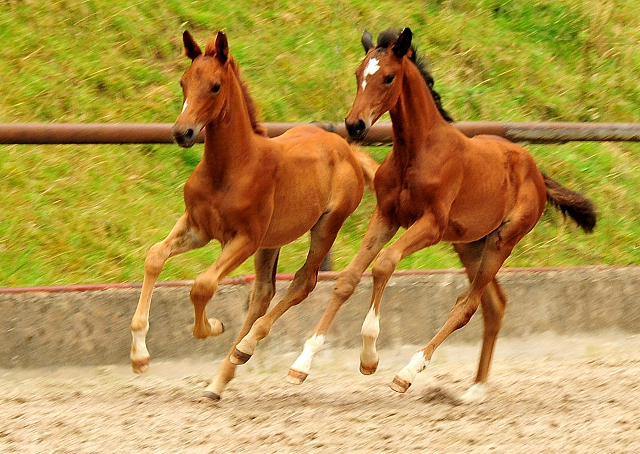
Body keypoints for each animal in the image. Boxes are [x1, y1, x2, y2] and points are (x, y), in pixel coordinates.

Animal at [132, 31, 378, 400]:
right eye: (183, 82)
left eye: (215, 86)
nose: (182, 132)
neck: (230, 169)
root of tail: (347, 149)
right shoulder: (197, 227)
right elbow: (154, 257)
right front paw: (139, 356)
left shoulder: (243, 239)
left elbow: (202, 285)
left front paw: (213, 326)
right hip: (271, 241)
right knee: (262, 292)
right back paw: (221, 378)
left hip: (325, 226)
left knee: (303, 283)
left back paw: (247, 348)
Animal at [284, 28, 596, 402]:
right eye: (359, 74)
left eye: (388, 77)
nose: (355, 125)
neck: (415, 152)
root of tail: (535, 171)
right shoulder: (386, 216)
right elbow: (348, 278)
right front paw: (302, 364)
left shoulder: (431, 225)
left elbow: (385, 263)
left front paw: (369, 357)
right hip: (470, 244)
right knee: (494, 304)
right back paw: (476, 388)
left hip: (503, 240)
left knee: (468, 305)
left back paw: (407, 374)